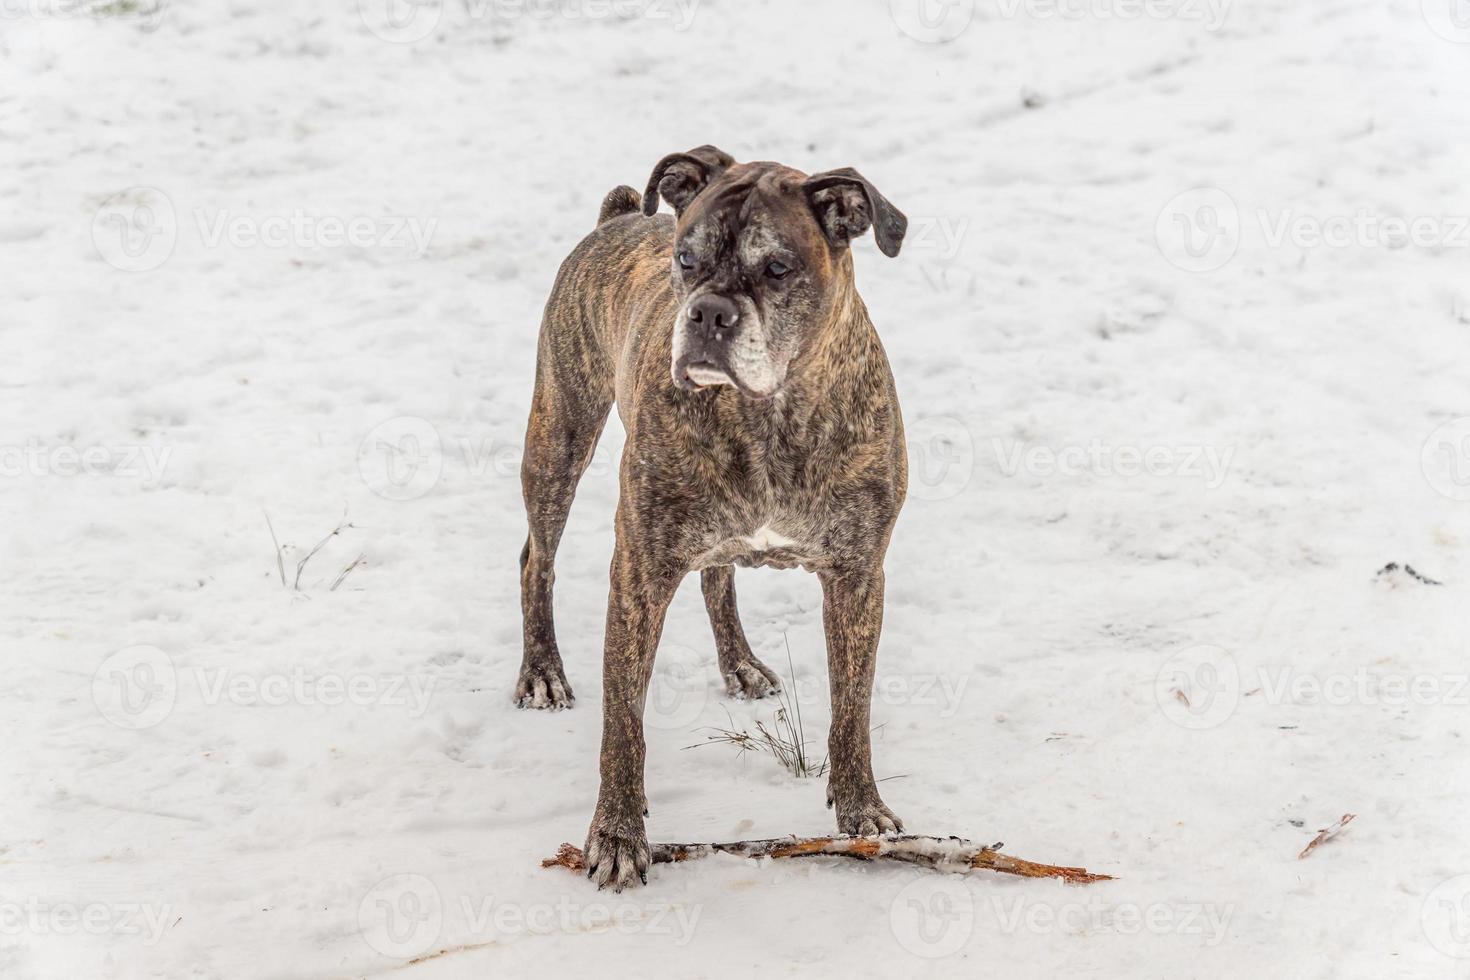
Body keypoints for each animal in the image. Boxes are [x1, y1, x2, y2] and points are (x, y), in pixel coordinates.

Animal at [514, 145, 905, 887]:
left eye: (778, 267)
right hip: (559, 438)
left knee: (716, 575)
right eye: (686, 258)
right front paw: (616, 835)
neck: (769, 412)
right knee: (535, 560)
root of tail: (614, 221)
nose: (708, 315)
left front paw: (862, 809)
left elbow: (854, 705)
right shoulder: (638, 573)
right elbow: (623, 724)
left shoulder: (858, 574)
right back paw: (542, 671)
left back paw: (740, 663)